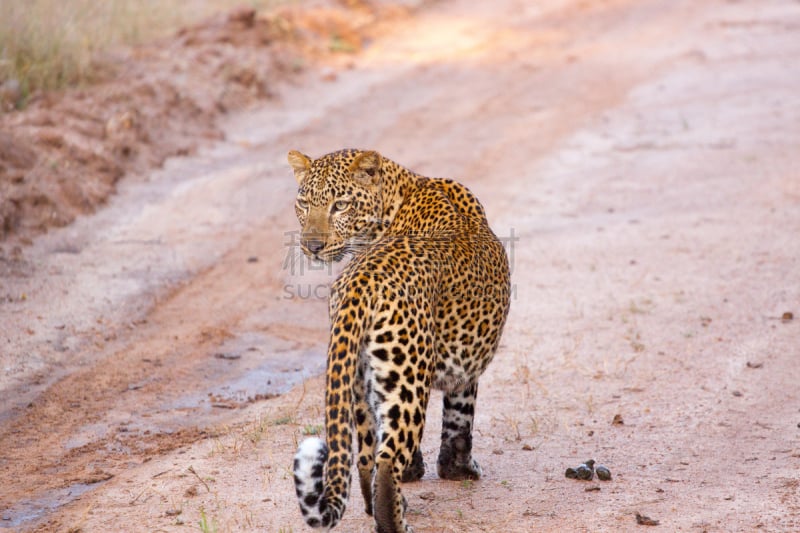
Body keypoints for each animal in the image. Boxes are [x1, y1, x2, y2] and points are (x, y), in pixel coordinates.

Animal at [290, 149, 510, 532]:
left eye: (340, 205)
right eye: (304, 203)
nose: (312, 247)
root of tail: (362, 280)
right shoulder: (465, 367)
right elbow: (460, 418)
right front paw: (458, 470)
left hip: (359, 379)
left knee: (367, 455)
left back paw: (373, 508)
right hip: (408, 373)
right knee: (387, 458)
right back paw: (395, 520)